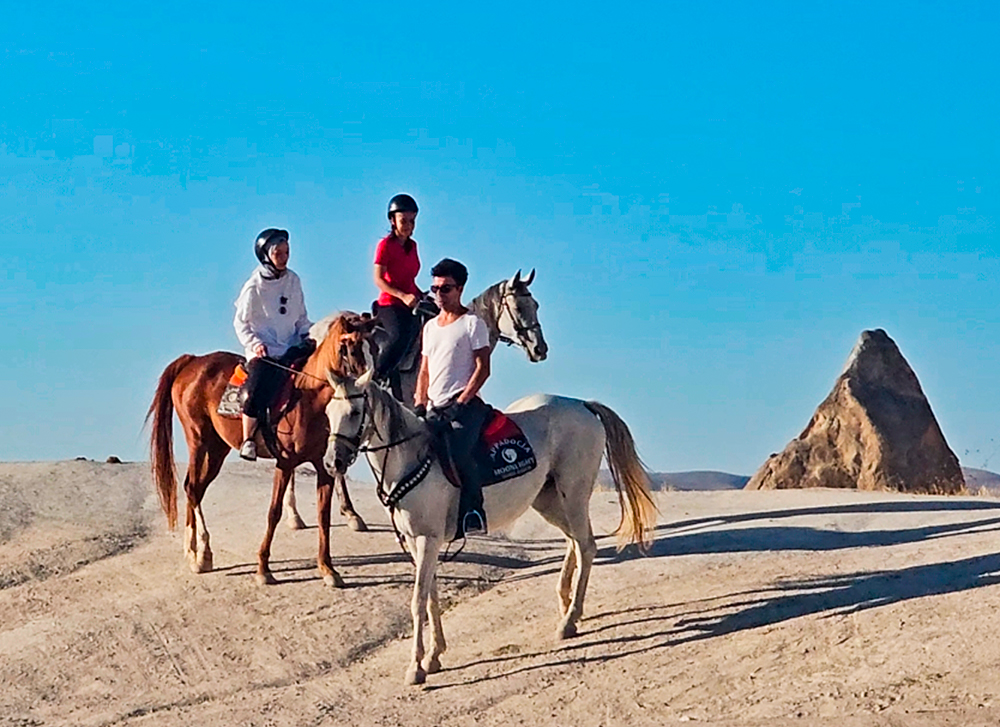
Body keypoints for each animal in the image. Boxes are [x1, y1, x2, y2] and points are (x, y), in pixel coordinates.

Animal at [146, 313, 371, 587]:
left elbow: (323, 516)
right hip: (199, 441)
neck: (308, 398)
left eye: (371, 347)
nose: (365, 387)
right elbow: (274, 512)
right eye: (347, 348)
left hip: (217, 449)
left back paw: (197, 553)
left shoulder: (324, 465)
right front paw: (263, 569)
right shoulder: (285, 462)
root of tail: (193, 361)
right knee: (191, 488)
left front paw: (328, 569)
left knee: (196, 488)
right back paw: (199, 555)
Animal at [322, 370, 658, 685]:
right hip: (548, 500)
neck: (411, 457)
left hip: (573, 493)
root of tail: (582, 404)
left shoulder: (428, 539)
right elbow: (431, 596)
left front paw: (415, 668)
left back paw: (569, 621)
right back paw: (567, 606)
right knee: (574, 542)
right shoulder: (418, 543)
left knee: (586, 546)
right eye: (327, 412)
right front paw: (434, 656)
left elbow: (418, 601)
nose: (332, 462)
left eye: (354, 412)